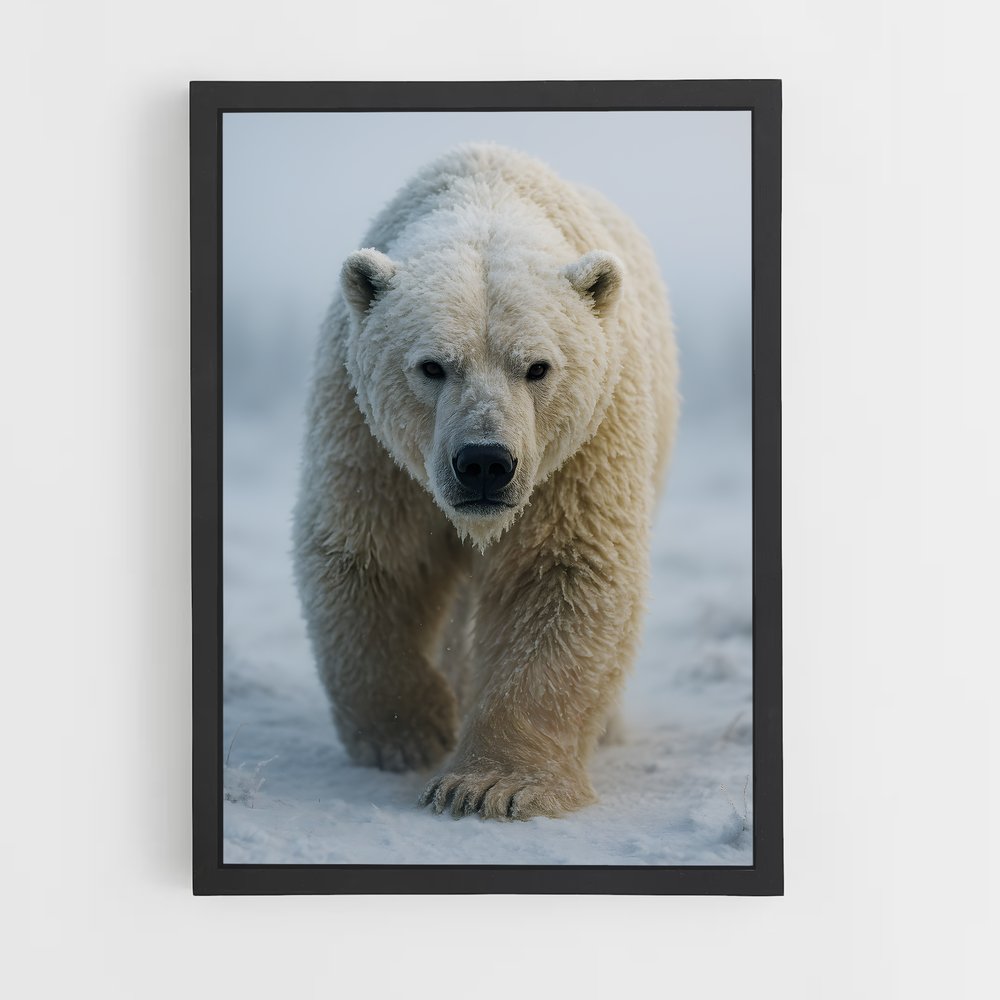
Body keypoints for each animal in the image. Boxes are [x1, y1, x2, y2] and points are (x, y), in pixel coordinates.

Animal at [293, 142, 679, 820]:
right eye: (432, 366)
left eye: (538, 367)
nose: (484, 463)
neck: (486, 196)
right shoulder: (372, 443)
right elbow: (375, 555)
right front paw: (411, 732)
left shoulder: (581, 451)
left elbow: (562, 572)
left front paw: (489, 786)